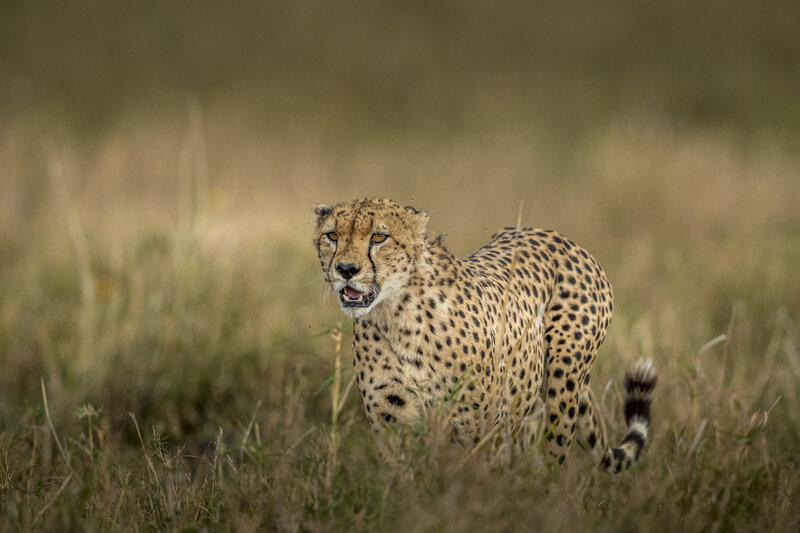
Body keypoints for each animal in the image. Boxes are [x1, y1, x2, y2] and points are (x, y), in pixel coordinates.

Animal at [313, 197, 657, 472]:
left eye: (379, 237)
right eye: (332, 236)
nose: (346, 269)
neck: (397, 315)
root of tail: (559, 237)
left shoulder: (481, 430)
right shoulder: (391, 420)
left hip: (563, 384)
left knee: (554, 455)